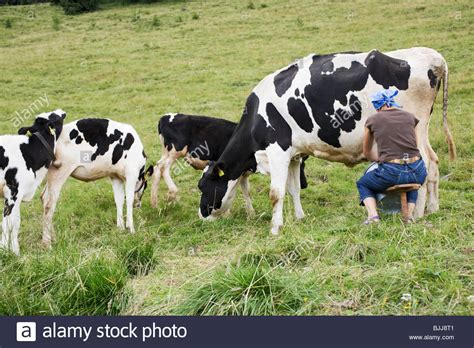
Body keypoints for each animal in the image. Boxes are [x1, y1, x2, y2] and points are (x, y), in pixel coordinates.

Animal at [0, 110, 65, 254]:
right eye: (55, 118)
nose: (62, 112)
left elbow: (11, 223)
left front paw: (8, 250)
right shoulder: (13, 193)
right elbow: (11, 223)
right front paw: (13, 253)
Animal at [41, 117, 153, 245]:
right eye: (145, 188)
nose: (139, 205)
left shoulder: (115, 176)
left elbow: (119, 200)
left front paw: (120, 228)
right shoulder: (131, 173)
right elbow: (128, 199)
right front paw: (131, 228)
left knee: (44, 198)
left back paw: (53, 238)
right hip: (59, 172)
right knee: (49, 204)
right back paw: (47, 243)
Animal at [150, 113, 310, 215]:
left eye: (304, 164)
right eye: (300, 166)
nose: (304, 184)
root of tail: (165, 117)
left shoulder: (242, 172)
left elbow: (246, 191)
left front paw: (251, 213)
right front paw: (226, 214)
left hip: (167, 152)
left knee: (157, 168)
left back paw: (155, 204)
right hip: (175, 150)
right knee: (162, 167)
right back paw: (171, 193)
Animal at [197, 47, 456, 235]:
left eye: (203, 186)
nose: (201, 215)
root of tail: (432, 56)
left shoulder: (278, 150)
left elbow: (276, 192)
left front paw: (275, 228)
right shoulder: (295, 155)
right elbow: (293, 189)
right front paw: (300, 218)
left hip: (414, 131)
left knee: (423, 166)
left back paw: (418, 213)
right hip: (423, 129)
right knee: (434, 162)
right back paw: (433, 208)